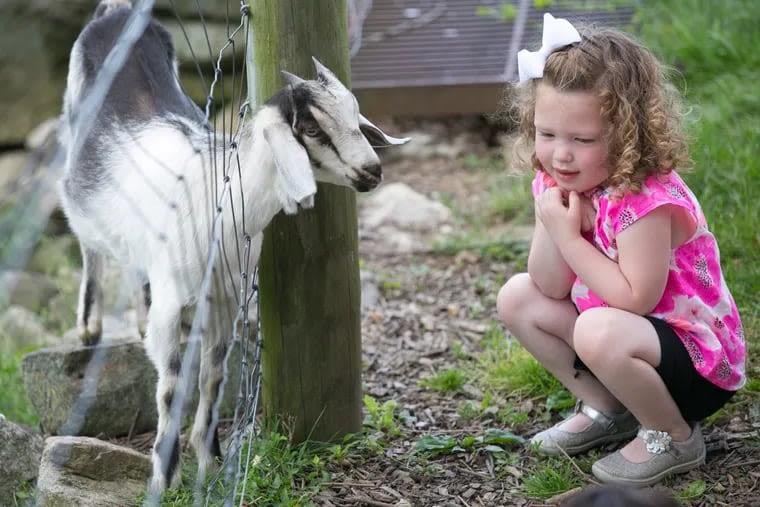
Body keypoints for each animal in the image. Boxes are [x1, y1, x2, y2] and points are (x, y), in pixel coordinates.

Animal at [58, 0, 410, 492]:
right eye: (310, 128)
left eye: (354, 115)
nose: (373, 171)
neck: (219, 198)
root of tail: (118, 11)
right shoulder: (174, 302)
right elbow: (172, 383)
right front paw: (164, 476)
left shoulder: (224, 297)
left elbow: (212, 375)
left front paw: (209, 460)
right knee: (88, 240)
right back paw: (89, 326)